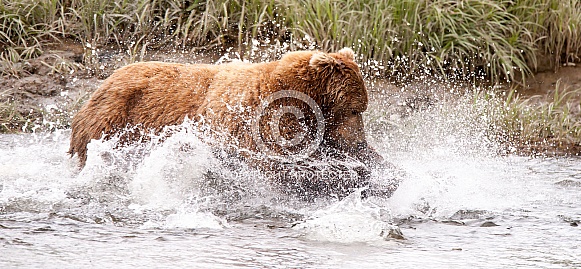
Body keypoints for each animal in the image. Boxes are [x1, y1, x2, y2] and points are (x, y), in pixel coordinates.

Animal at [68, 46, 394, 197]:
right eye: (356, 109)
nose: (361, 141)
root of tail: (102, 83)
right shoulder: (262, 124)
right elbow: (282, 168)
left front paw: (384, 171)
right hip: (114, 122)